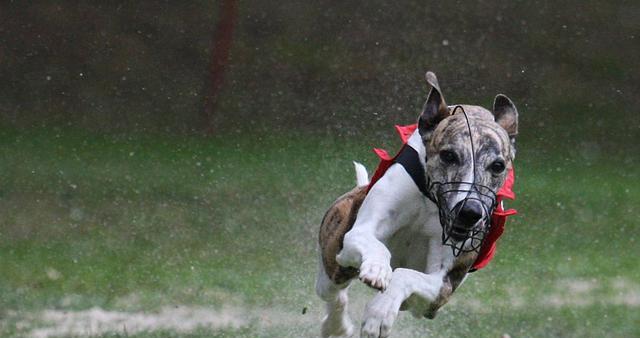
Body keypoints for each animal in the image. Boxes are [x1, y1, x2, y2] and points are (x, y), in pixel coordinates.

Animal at [318, 72, 516, 338]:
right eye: (448, 155)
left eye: (498, 166)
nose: (469, 212)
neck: (433, 202)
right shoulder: (357, 233)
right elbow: (376, 247)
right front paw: (378, 269)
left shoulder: (440, 291)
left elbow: (406, 275)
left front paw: (379, 312)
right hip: (334, 262)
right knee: (335, 292)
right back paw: (337, 326)